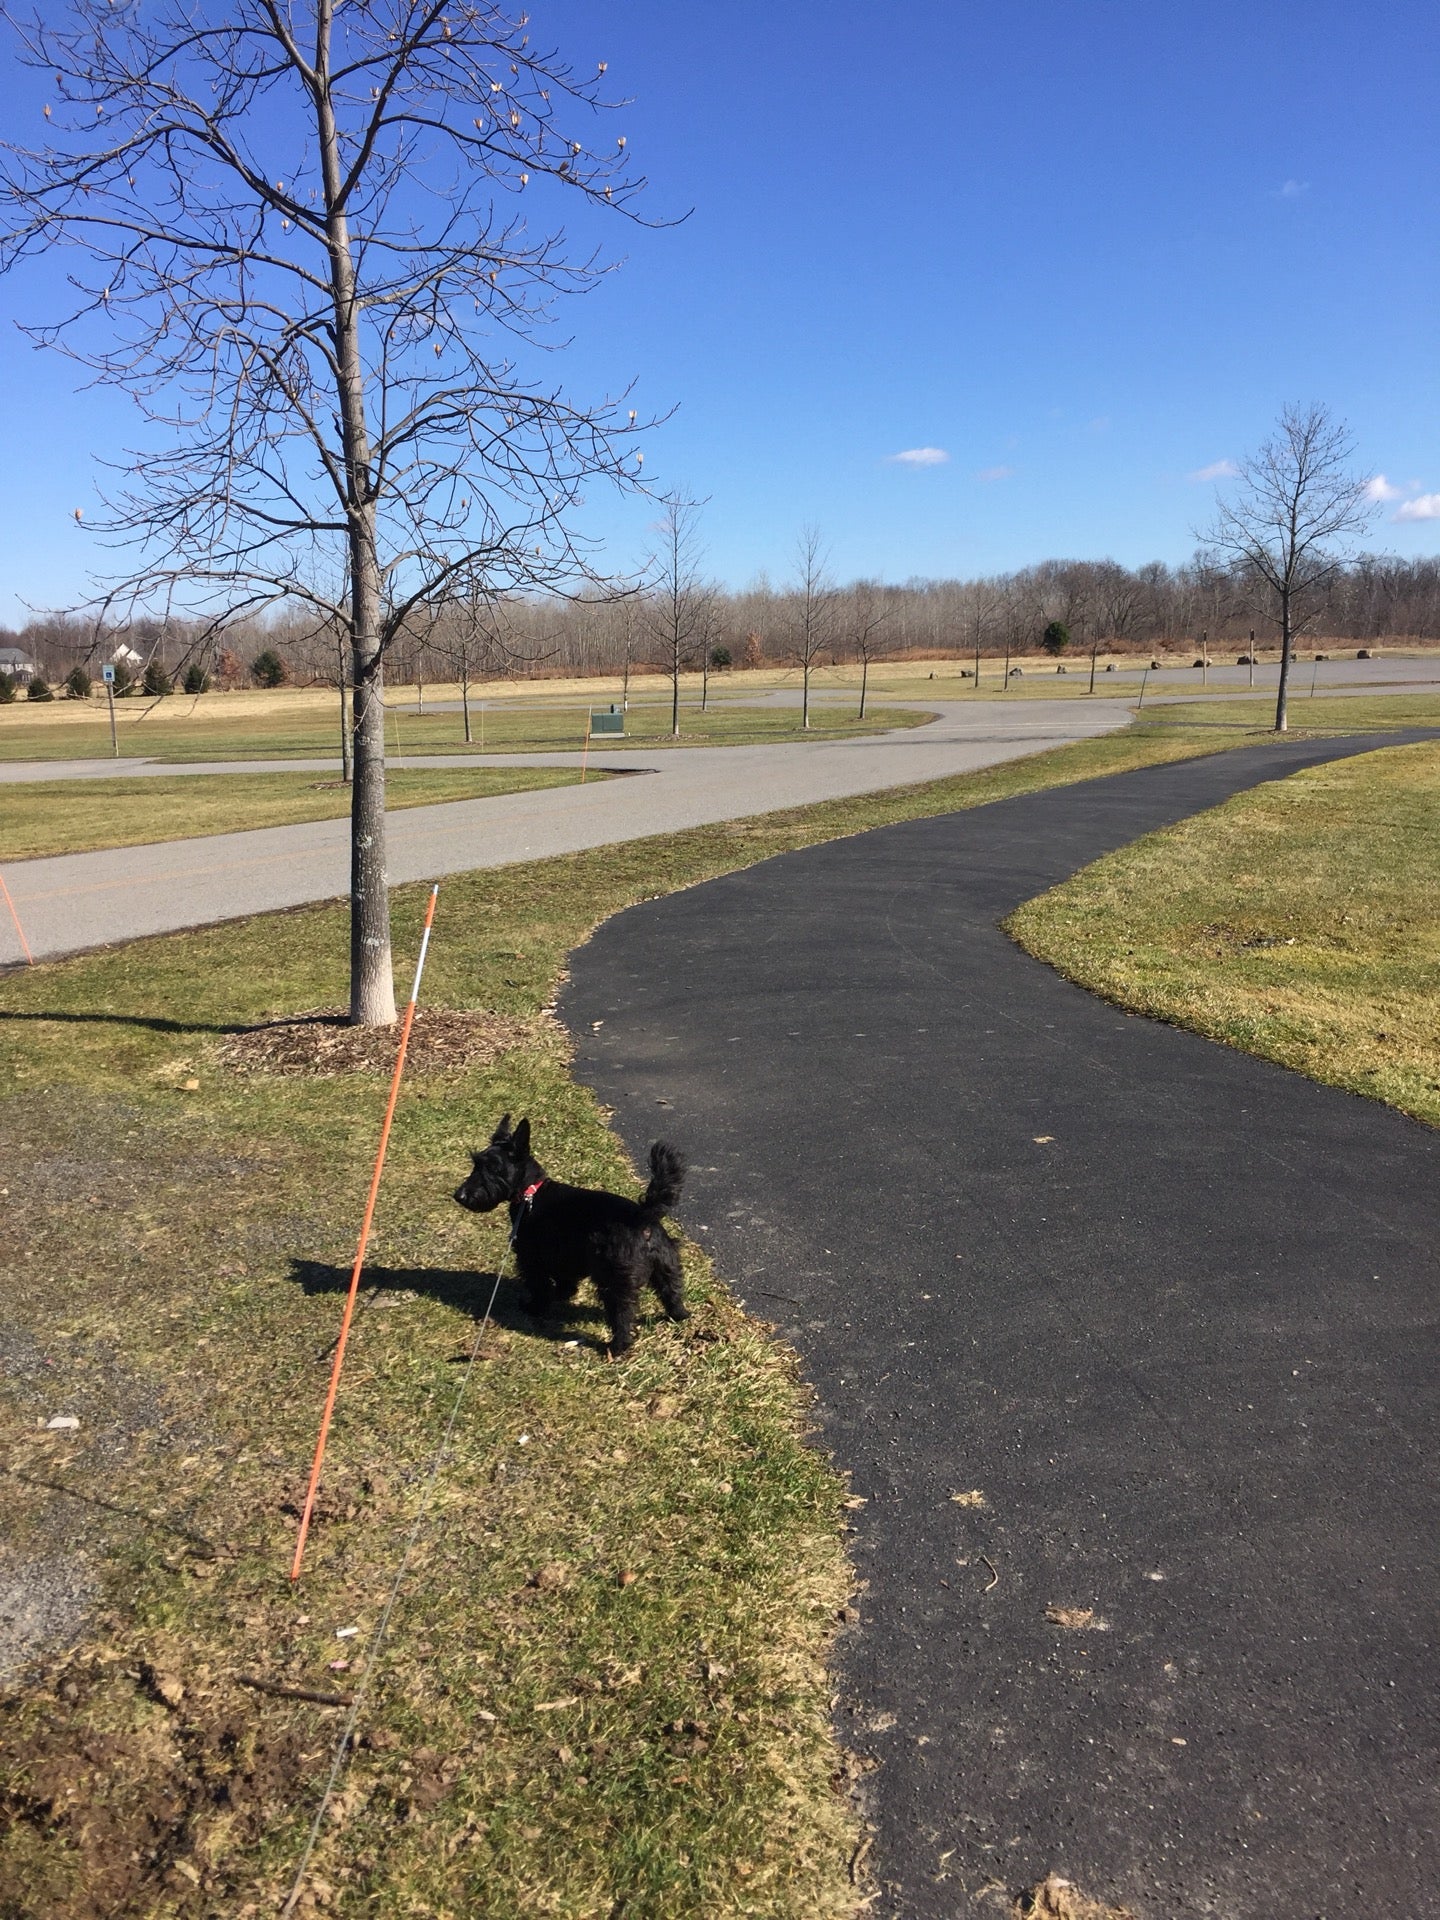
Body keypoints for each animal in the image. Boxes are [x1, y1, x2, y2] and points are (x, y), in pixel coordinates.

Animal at [456, 1113, 695, 1351]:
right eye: (476, 1164)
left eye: (492, 1168)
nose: (459, 1195)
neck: (531, 1193)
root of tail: (640, 1216)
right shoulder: (564, 1257)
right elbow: (565, 1280)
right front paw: (563, 1294)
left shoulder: (531, 1257)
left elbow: (539, 1284)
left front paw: (534, 1307)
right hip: (667, 1266)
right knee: (672, 1292)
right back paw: (679, 1315)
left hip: (615, 1280)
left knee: (622, 1313)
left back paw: (617, 1346)